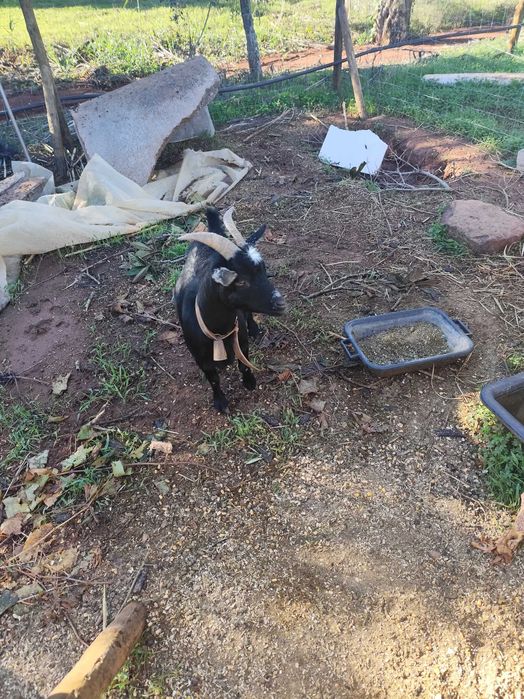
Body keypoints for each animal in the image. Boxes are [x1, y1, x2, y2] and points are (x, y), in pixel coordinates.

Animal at [175, 206, 286, 413]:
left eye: (263, 270)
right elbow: (213, 379)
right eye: (240, 281)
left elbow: (244, 364)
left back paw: (254, 329)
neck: (218, 333)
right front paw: (220, 402)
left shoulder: (241, 340)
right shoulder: (201, 359)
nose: (280, 303)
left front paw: (249, 382)